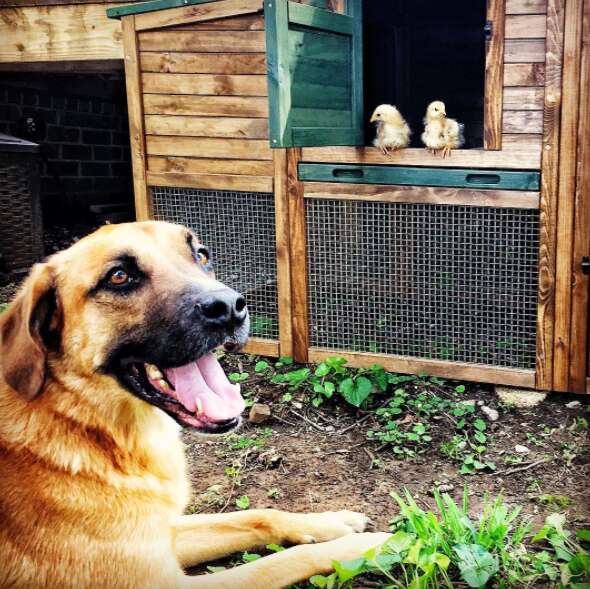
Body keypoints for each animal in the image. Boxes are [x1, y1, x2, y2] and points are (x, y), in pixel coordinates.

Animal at [0, 222, 388, 588]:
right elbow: (281, 561)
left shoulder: (165, 532)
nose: (229, 308)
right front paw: (370, 547)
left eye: (201, 254)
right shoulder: (162, 578)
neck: (88, 425)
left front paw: (328, 521)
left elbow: (257, 515)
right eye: (119, 276)